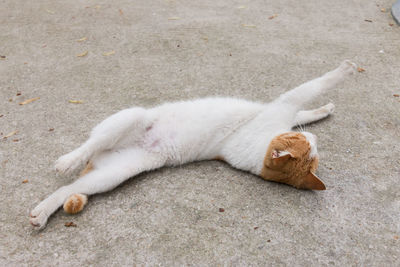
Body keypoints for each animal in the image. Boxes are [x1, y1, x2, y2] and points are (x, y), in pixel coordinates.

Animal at [30, 60, 356, 230]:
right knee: (86, 147)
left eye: (313, 152)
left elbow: (305, 106)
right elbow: (310, 93)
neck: (258, 151)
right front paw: (339, 81)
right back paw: (67, 161)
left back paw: (42, 212)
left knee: (69, 189)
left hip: (113, 175)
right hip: (131, 117)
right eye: (306, 144)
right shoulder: (283, 106)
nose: (317, 139)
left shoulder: (280, 113)